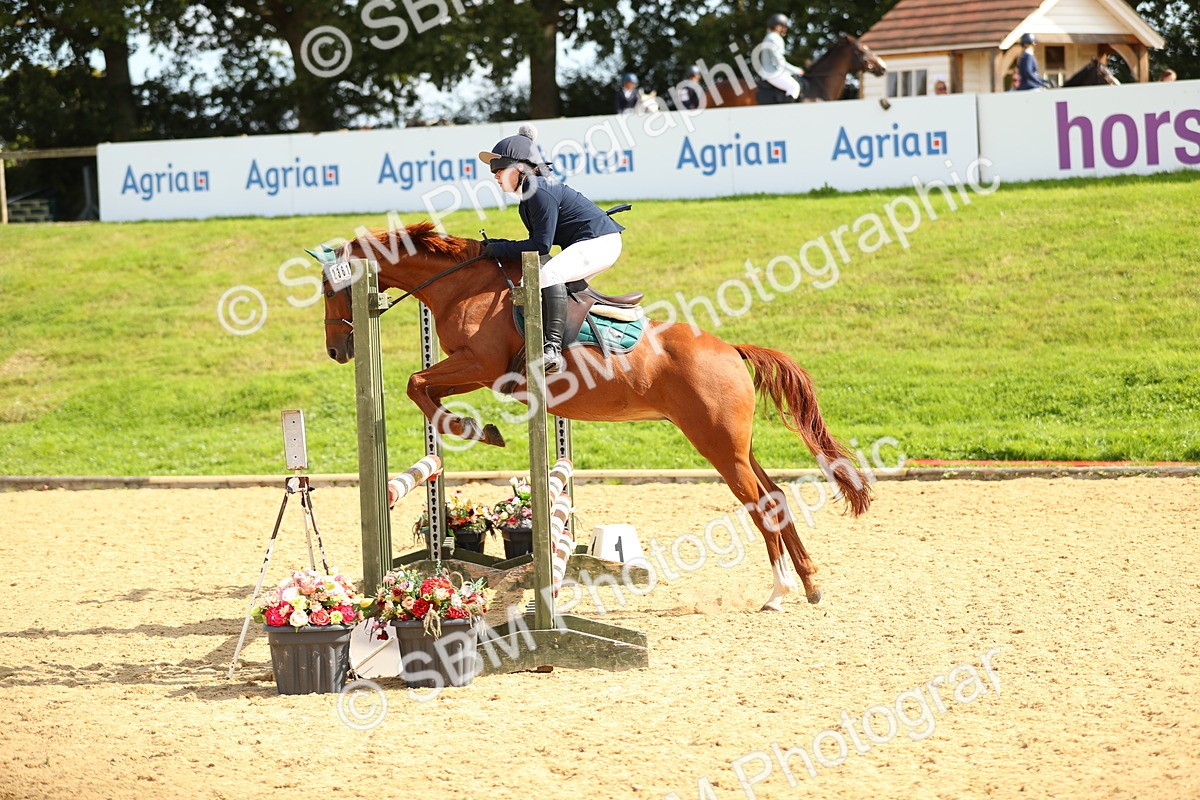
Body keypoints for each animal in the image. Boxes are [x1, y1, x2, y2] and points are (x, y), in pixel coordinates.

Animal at [322, 223, 872, 611]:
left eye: (330, 290)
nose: (336, 351)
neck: (461, 285)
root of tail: (732, 351)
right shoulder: (474, 372)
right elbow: (423, 386)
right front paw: (476, 429)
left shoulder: (480, 365)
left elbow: (416, 383)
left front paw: (476, 430)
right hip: (736, 444)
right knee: (775, 495)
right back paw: (810, 584)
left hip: (716, 444)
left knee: (761, 504)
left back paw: (778, 592)